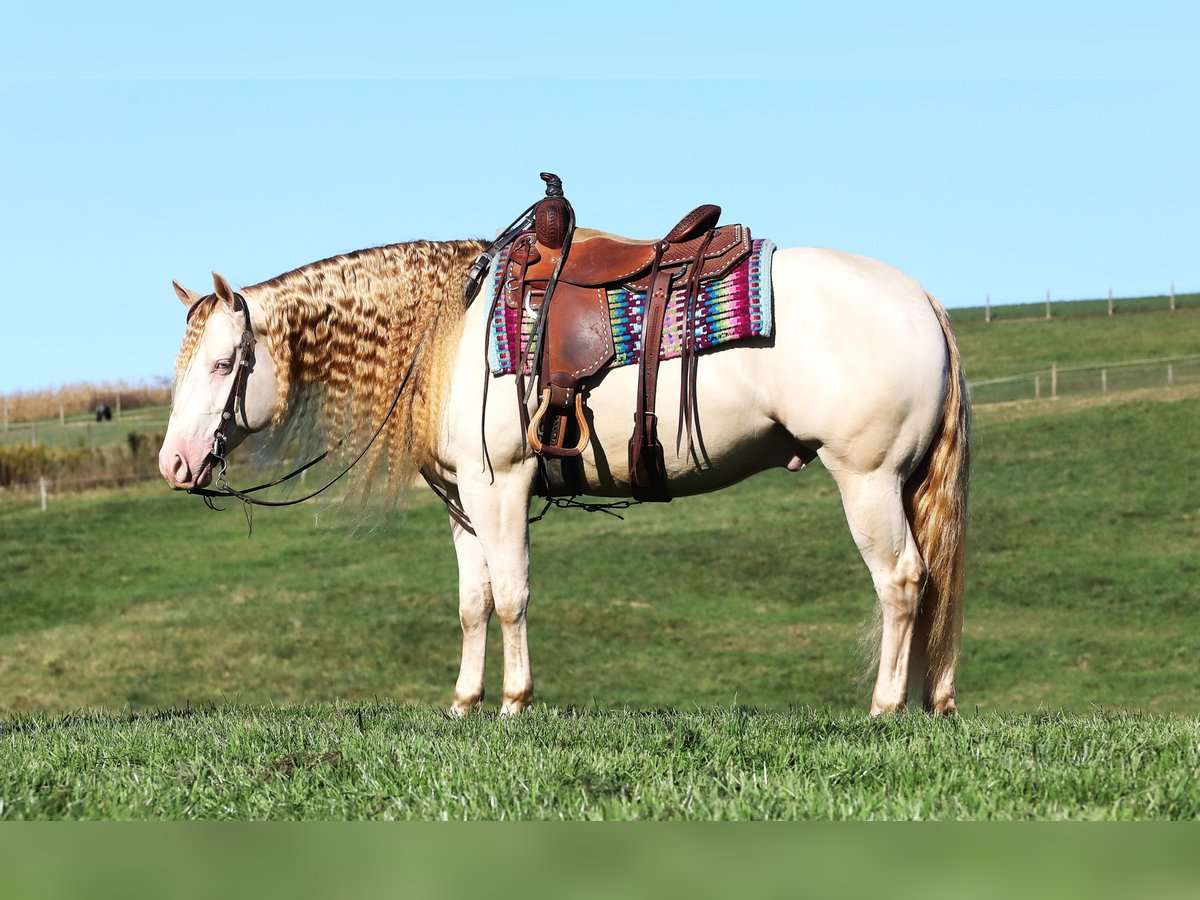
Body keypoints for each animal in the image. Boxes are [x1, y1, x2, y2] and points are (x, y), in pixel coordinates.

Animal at [159, 240, 969, 720]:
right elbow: (473, 604)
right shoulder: (461, 503)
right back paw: (934, 701)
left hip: (868, 479)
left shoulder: (501, 488)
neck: (450, 335)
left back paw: (886, 707)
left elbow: (512, 596)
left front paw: (514, 703)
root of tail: (922, 299)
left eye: (224, 364)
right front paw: (463, 703)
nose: (174, 464)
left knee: (901, 581)